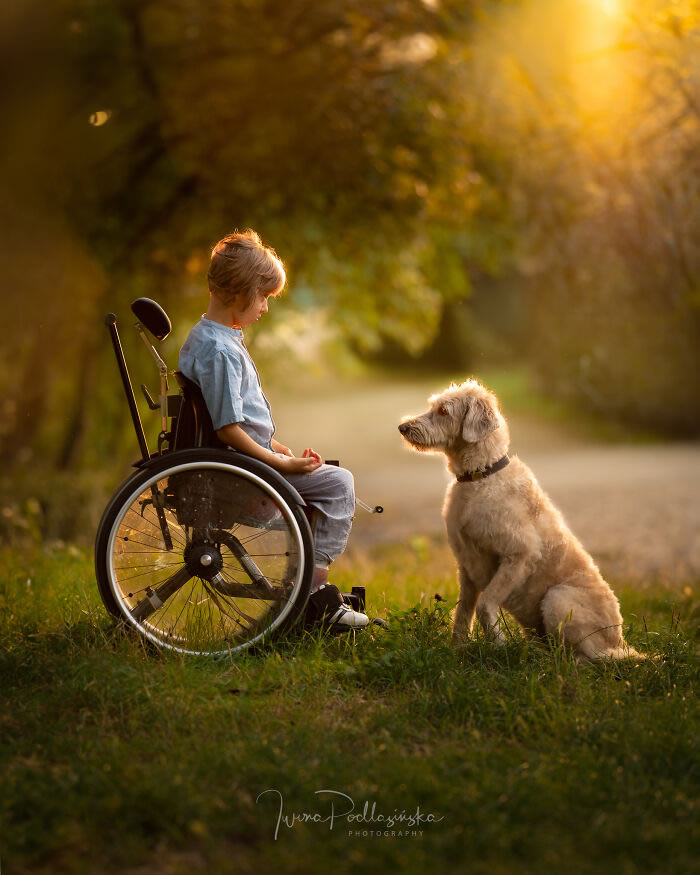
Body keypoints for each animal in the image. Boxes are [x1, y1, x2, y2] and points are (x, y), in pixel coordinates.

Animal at [400, 378, 644, 664]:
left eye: (443, 411)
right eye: (432, 406)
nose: (402, 427)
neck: (482, 475)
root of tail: (619, 643)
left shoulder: (520, 555)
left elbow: (485, 605)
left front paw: (498, 646)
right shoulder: (467, 567)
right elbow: (462, 614)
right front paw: (456, 651)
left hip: (557, 598)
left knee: (588, 656)